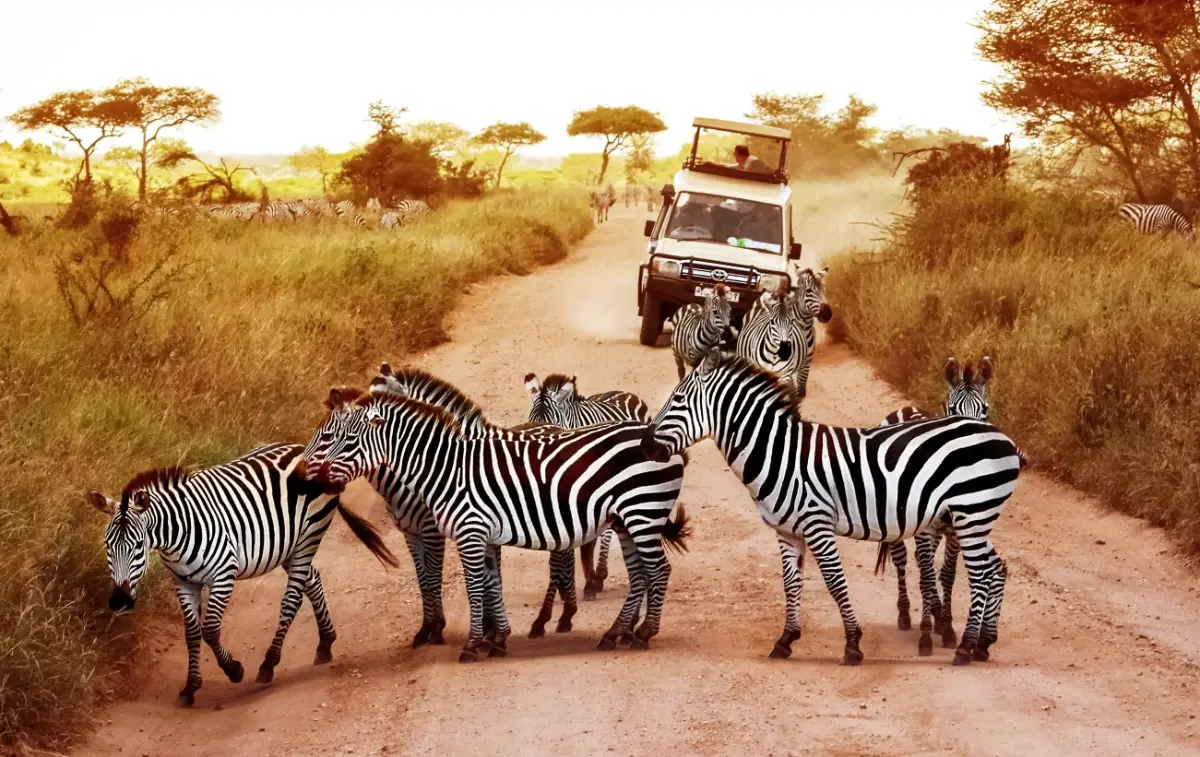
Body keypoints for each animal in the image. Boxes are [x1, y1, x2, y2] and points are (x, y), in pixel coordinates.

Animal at [87, 443, 397, 707]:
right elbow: (192, 633)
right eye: (107, 546)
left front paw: (234, 670)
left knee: (292, 599)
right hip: (289, 546)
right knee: (313, 580)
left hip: (308, 538)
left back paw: (269, 664)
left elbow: (210, 630)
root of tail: (301, 448)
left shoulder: (223, 576)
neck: (175, 537)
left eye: (138, 546)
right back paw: (325, 643)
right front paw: (190, 688)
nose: (119, 601)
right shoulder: (183, 583)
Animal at [641, 349, 1022, 665]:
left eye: (677, 399)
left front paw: (852, 645)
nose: (646, 444)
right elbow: (791, 585)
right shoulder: (787, 531)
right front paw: (785, 641)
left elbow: (835, 583)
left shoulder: (817, 524)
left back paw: (964, 648)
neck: (780, 455)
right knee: (996, 567)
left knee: (980, 573)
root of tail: (1001, 437)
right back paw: (983, 643)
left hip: (971, 514)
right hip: (975, 517)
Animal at [735, 267, 832, 398]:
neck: (804, 329)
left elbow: (800, 390)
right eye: (808, 291)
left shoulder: (806, 363)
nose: (828, 314)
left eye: (824, 290)